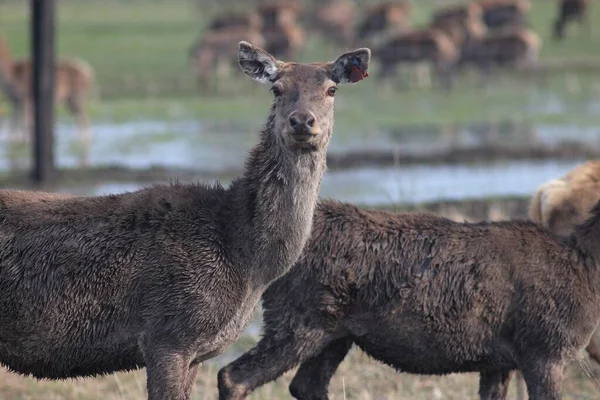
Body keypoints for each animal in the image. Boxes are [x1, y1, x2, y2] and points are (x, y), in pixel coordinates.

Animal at [0, 34, 94, 162]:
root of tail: (88, 72)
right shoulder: (15, 102)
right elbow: (14, 127)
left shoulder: (27, 99)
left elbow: (27, 125)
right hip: (70, 100)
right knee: (81, 118)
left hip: (77, 97)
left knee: (84, 119)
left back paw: (80, 143)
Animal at [220, 198, 600, 400]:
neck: (588, 266)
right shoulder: (544, 349)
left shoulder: (500, 361)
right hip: (298, 322)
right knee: (233, 376)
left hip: (335, 335)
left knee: (305, 385)